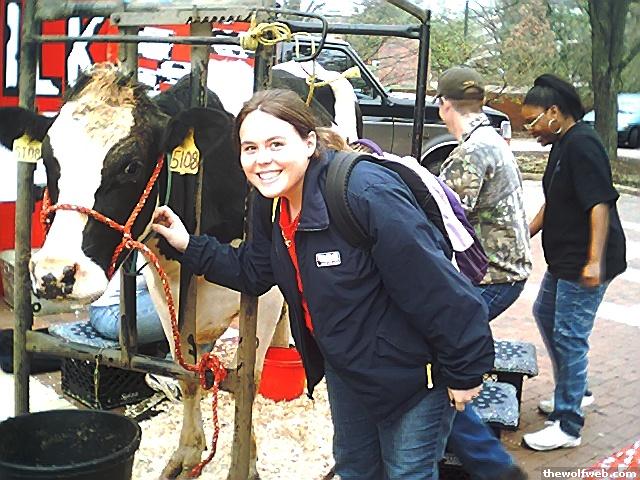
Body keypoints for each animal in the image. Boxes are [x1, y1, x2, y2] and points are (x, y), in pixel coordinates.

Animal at [0, 61, 361, 479]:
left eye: (131, 166)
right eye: (48, 161)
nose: (55, 275)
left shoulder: (264, 290)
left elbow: (249, 379)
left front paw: (249, 461)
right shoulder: (166, 287)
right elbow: (188, 374)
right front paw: (188, 454)